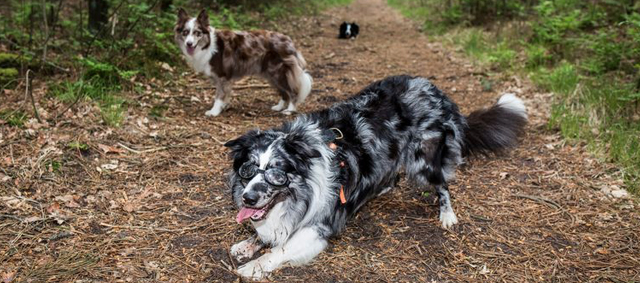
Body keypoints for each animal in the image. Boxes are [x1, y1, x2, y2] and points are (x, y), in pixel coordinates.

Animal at [222, 75, 528, 280]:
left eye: (277, 174)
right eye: (248, 170)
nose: (248, 198)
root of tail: (435, 90)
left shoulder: (319, 226)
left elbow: (280, 250)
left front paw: (253, 266)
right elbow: (269, 232)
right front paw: (248, 244)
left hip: (423, 160)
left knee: (442, 183)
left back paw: (447, 215)